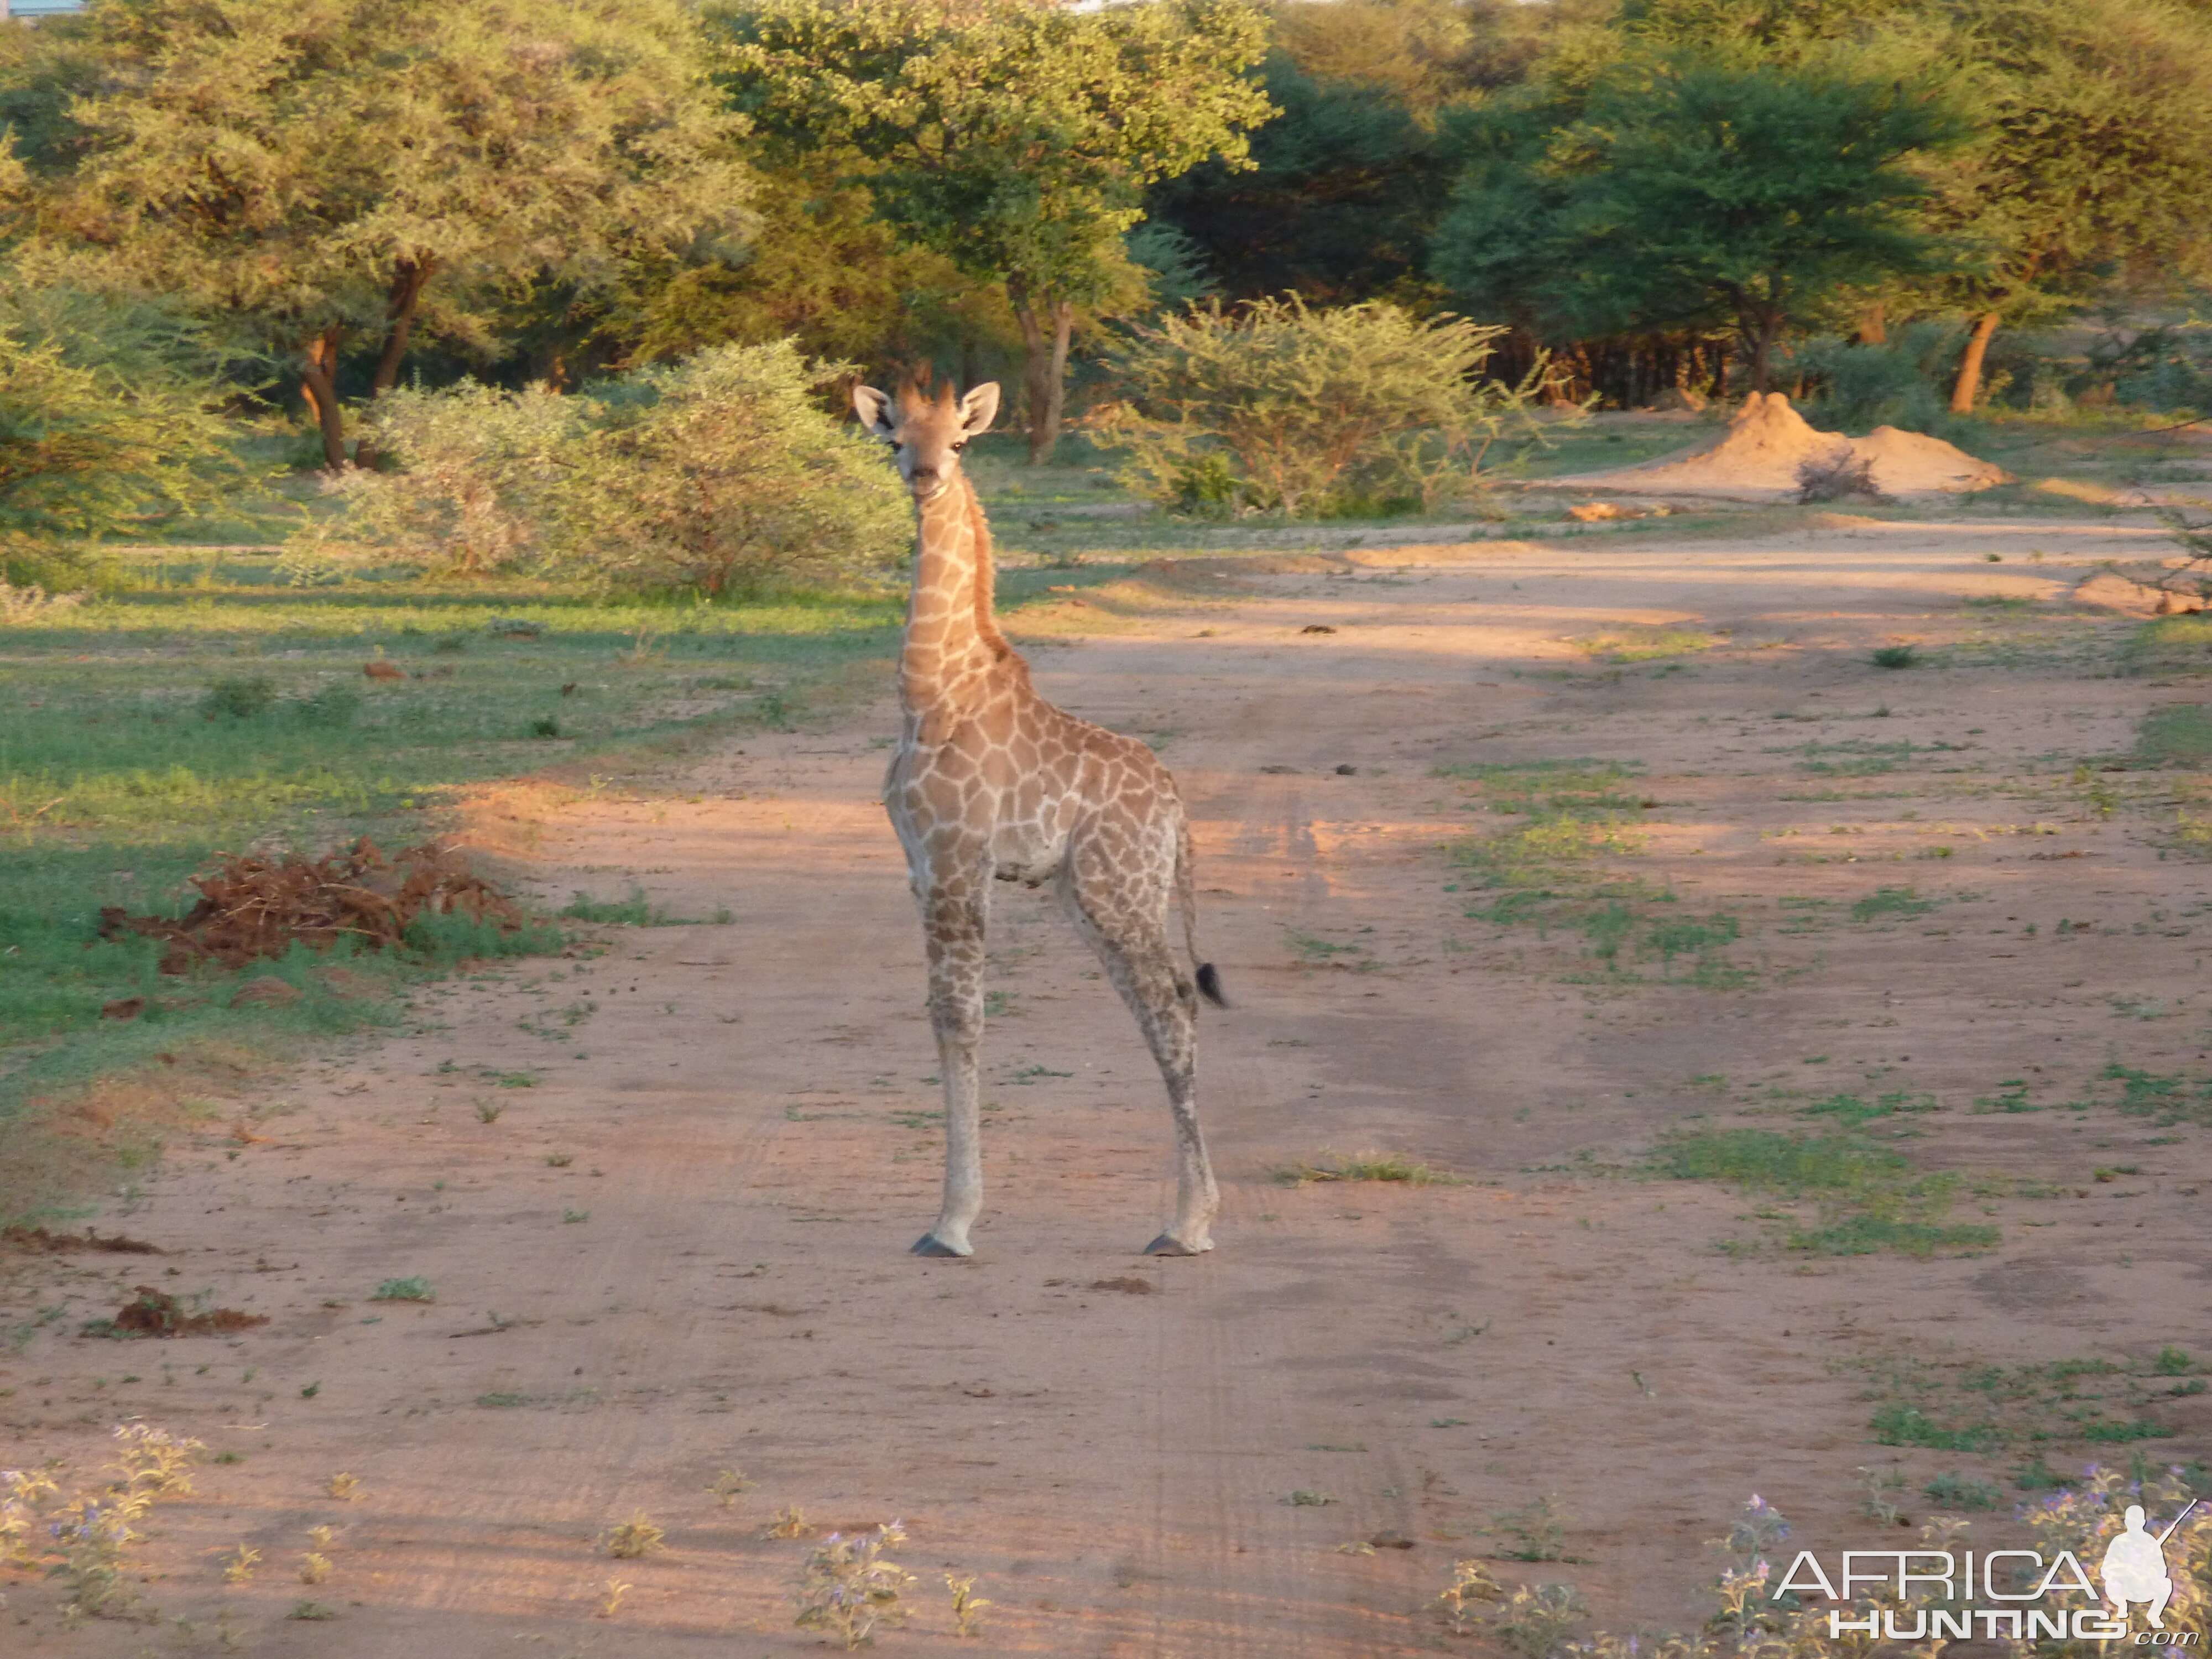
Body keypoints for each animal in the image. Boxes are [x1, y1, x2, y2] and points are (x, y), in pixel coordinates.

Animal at [849, 376, 1230, 1256]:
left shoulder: (959, 859)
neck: (929, 696)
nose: (924, 477)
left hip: (1116, 888)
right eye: (895, 442)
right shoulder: (921, 867)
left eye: (958, 441)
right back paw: (1187, 1216)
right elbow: (940, 1016)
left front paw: (951, 1225)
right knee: (1165, 1002)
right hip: (1092, 894)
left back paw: (1187, 1227)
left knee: (1169, 1008)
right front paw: (950, 1217)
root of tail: (1176, 808)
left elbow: (961, 1017)